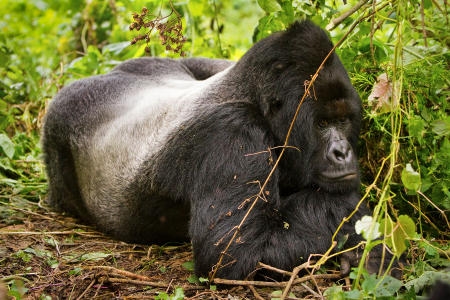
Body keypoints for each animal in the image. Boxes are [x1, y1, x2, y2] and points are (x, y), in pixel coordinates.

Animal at [43, 21, 372, 278]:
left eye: (343, 120)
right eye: (322, 123)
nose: (342, 152)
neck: (251, 96)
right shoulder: (232, 131)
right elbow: (236, 252)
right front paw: (352, 208)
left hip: (153, 65)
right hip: (57, 131)